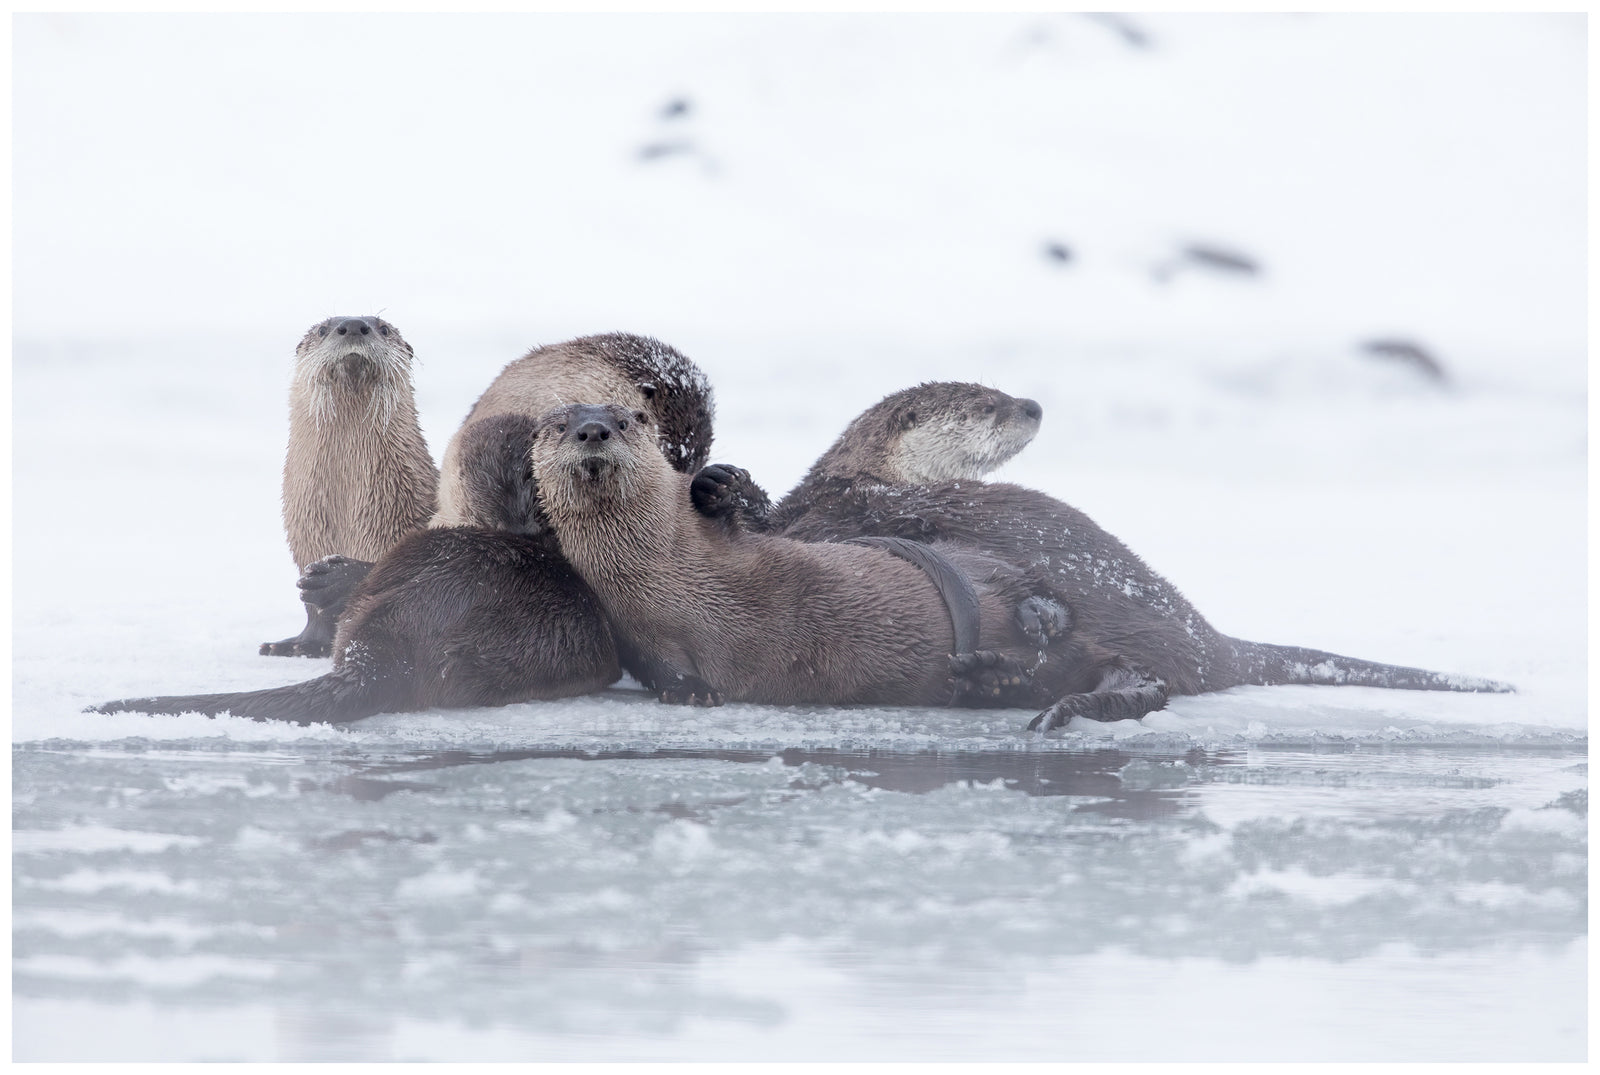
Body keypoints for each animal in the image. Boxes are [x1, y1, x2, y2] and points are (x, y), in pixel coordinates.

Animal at [260, 316, 439, 658]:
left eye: (383, 328)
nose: (354, 324)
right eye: (322, 329)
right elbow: (314, 616)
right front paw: (299, 645)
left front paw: (339, 581)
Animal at [529, 402, 1168, 725]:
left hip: (976, 566)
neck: (657, 565)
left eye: (625, 420)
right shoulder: (630, 624)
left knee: (1026, 588)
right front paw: (692, 694)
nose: (592, 429)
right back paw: (994, 674)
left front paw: (718, 484)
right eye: (557, 426)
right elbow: (661, 667)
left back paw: (1038, 620)